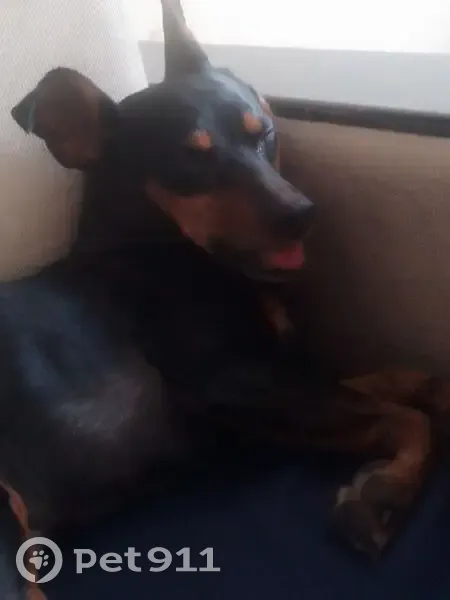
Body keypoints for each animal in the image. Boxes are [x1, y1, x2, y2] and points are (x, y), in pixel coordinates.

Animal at [6, 2, 450, 596]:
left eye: (265, 134)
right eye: (189, 161)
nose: (303, 214)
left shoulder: (271, 383)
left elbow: (381, 383)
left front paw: (424, 390)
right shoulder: (229, 382)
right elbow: (405, 417)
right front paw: (384, 494)